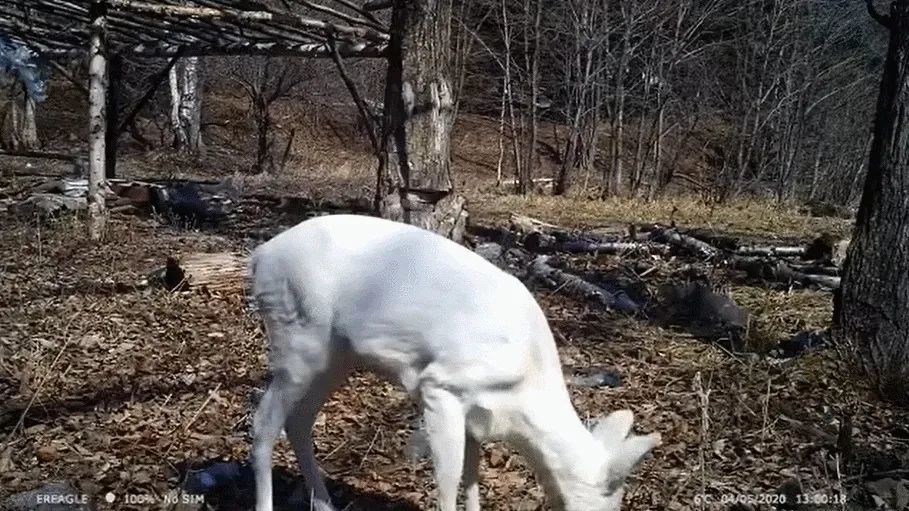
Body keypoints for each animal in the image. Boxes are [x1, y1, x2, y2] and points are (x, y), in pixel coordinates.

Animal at [247, 215, 660, 511]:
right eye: (611, 502)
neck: (523, 398)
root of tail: (259, 257)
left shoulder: (478, 417)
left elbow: (472, 479)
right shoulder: (440, 385)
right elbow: (448, 482)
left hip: (335, 355)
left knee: (297, 421)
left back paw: (324, 503)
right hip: (298, 335)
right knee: (264, 421)